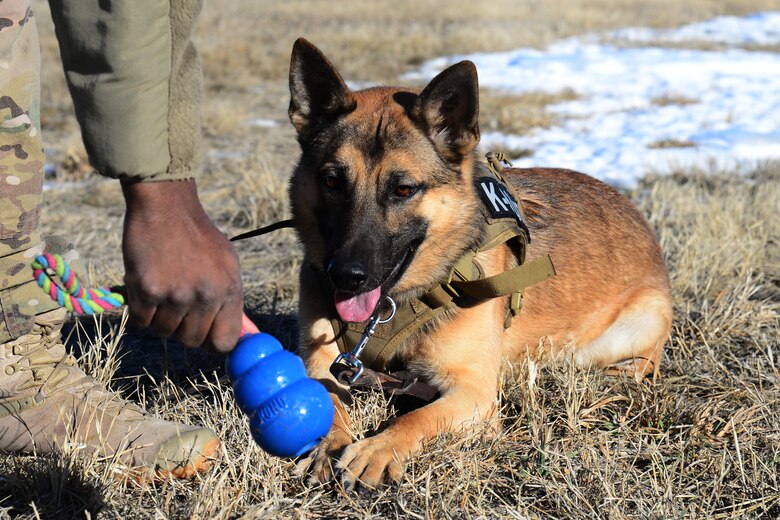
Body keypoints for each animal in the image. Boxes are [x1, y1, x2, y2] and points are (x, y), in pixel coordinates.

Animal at [290, 39, 672, 488]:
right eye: (332, 180)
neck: (394, 307)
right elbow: (327, 402)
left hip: (636, 324)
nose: (346, 277)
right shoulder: (319, 365)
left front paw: (376, 450)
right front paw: (325, 442)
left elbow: (416, 419)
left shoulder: (473, 394)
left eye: (403, 189)